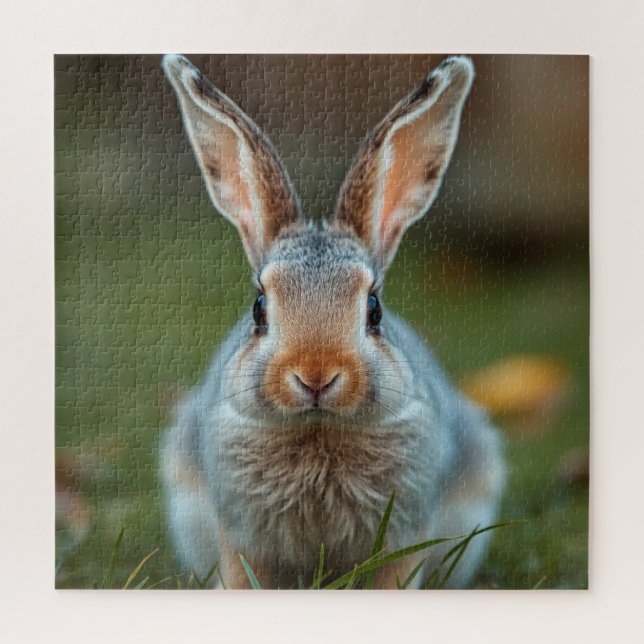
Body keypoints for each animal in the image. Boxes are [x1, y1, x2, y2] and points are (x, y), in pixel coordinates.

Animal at [161, 53, 505, 589]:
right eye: (259, 308)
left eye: (374, 309)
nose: (316, 375)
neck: (318, 430)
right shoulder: (237, 534)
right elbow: (242, 572)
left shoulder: (407, 529)